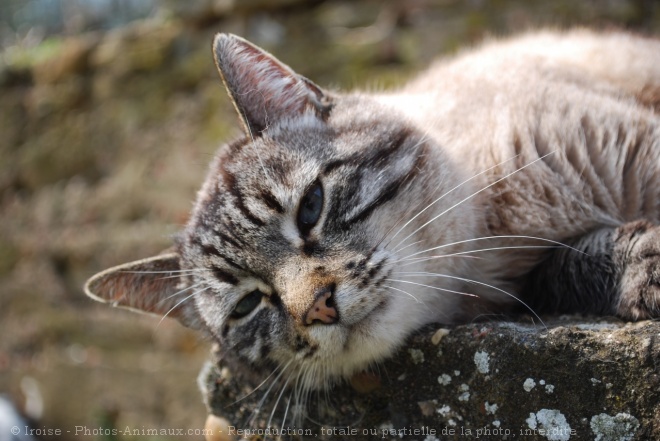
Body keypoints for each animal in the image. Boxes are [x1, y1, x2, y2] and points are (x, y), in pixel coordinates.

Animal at [85, 31, 660, 396]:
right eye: (248, 305)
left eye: (311, 208)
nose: (319, 308)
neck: (499, 230)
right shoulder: (528, 284)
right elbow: (576, 263)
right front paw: (642, 269)